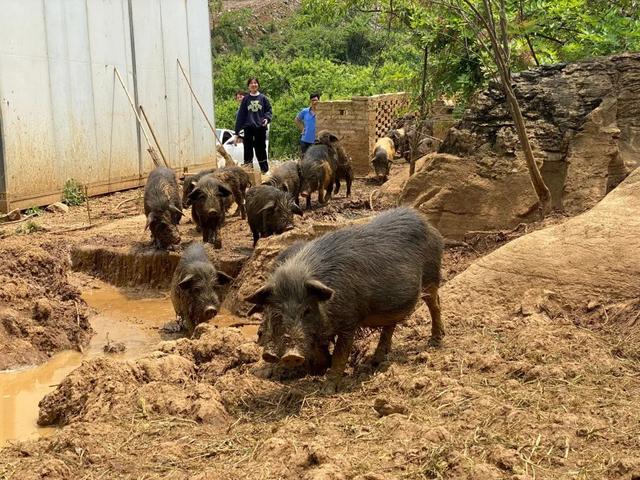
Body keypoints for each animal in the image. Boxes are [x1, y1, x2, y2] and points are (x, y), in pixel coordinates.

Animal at [246, 208, 444, 392]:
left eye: (307, 310)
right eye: (277, 313)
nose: (291, 355)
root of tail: (427, 223)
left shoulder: (350, 322)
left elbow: (341, 355)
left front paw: (327, 389)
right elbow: (321, 350)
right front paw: (319, 369)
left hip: (431, 276)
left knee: (434, 304)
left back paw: (435, 341)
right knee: (390, 325)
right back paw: (375, 361)